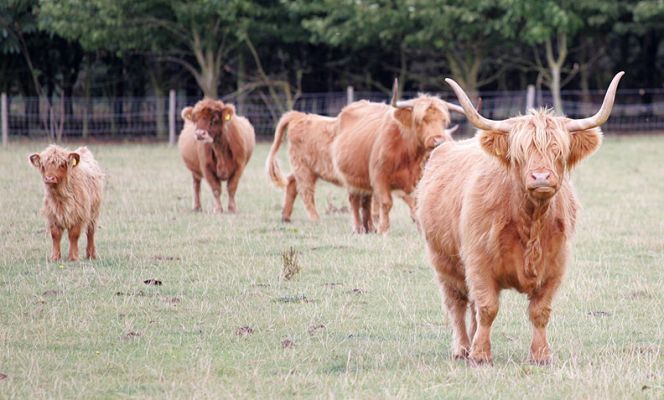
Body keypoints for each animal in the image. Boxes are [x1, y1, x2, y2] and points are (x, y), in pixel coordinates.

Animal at [331, 79, 464, 233]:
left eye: (444, 120)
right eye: (421, 120)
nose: (438, 141)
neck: (407, 153)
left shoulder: (417, 180)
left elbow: (416, 205)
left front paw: (421, 230)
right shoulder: (379, 177)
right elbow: (386, 202)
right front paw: (383, 230)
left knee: (366, 201)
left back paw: (370, 227)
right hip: (350, 178)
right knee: (354, 200)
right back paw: (359, 228)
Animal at [416, 72, 624, 365]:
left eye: (559, 151)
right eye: (521, 152)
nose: (541, 177)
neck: (531, 220)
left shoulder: (556, 265)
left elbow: (540, 311)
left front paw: (541, 355)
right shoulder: (478, 261)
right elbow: (488, 307)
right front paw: (481, 355)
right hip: (443, 260)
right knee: (457, 302)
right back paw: (462, 348)